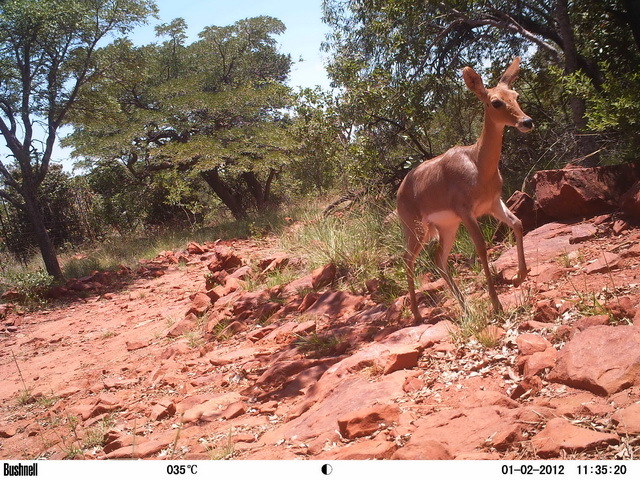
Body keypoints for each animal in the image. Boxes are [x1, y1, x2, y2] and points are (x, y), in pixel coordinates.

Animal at [398, 56, 532, 320]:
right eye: (495, 101)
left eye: (516, 95)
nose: (526, 122)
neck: (477, 165)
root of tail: (399, 191)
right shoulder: (466, 212)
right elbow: (481, 247)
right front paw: (496, 304)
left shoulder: (492, 204)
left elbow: (518, 223)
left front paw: (519, 276)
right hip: (417, 230)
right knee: (408, 260)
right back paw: (417, 315)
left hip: (447, 227)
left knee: (439, 259)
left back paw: (465, 307)